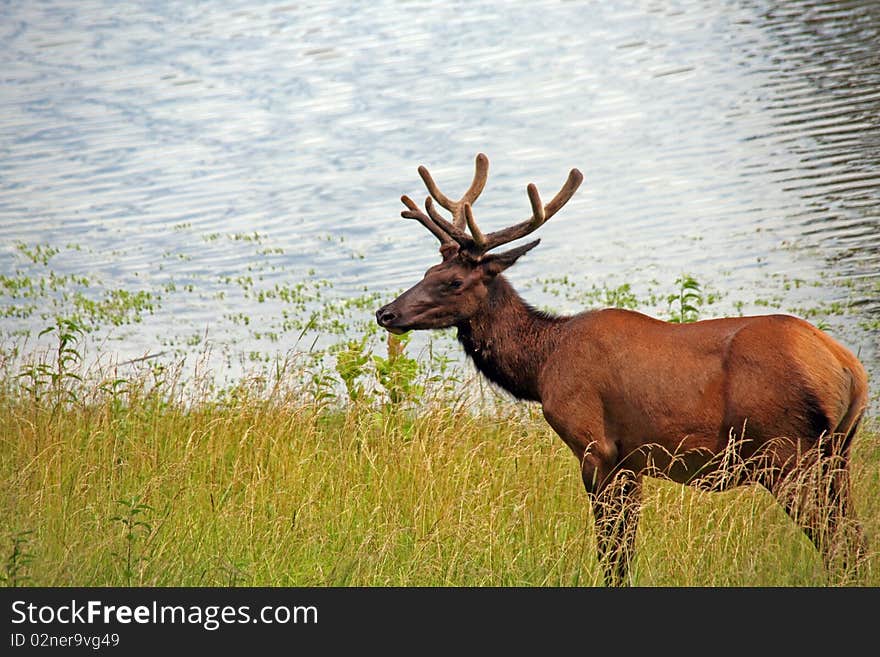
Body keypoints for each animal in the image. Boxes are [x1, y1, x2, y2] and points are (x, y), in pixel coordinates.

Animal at [374, 152, 868, 584]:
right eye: (426, 272)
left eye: (453, 281)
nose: (386, 313)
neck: (541, 366)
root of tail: (850, 371)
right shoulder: (631, 460)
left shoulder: (597, 447)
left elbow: (613, 554)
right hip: (836, 453)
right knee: (855, 543)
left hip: (787, 453)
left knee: (838, 544)